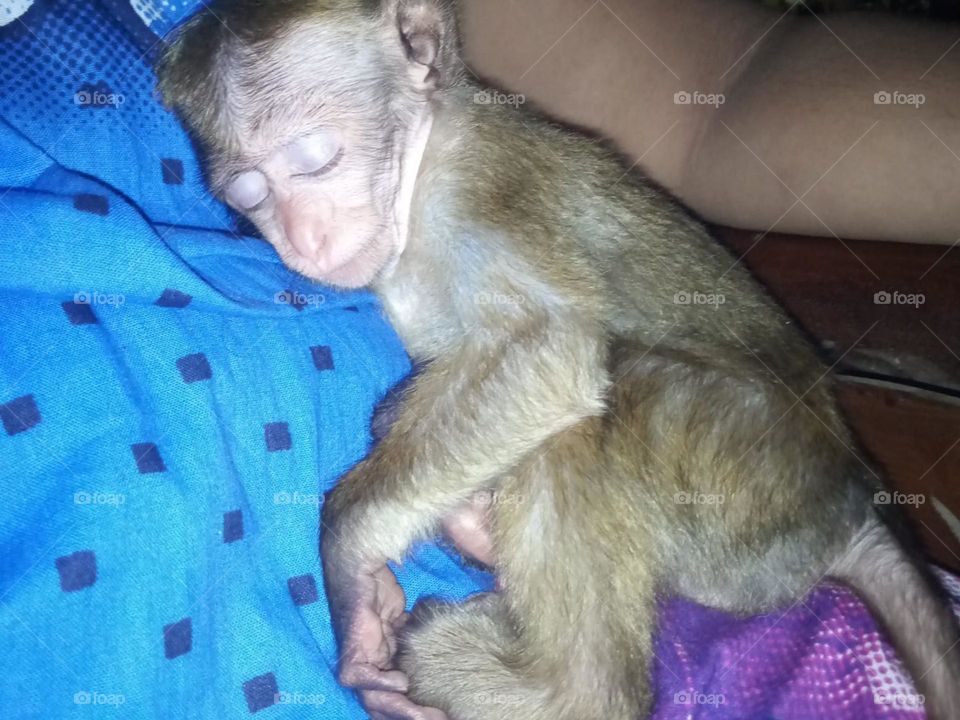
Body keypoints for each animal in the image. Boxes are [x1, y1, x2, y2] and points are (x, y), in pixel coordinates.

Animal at [156, 1, 960, 718]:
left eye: (315, 162)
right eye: (250, 197)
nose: (305, 240)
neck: (416, 177)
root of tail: (850, 499)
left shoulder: (478, 183)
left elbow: (550, 348)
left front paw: (350, 569)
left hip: (756, 478)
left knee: (605, 399)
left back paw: (564, 693)